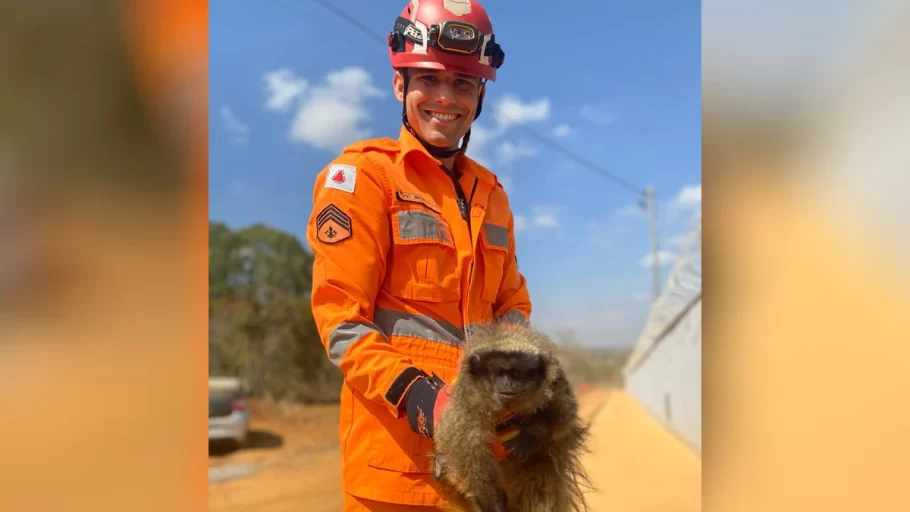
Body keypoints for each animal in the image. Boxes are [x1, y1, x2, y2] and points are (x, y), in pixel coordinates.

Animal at [430, 322, 596, 510]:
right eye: (499, 373)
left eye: (516, 374)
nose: (507, 383)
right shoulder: (466, 404)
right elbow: (466, 455)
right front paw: (490, 503)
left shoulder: (555, 381)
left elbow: (564, 414)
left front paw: (534, 433)